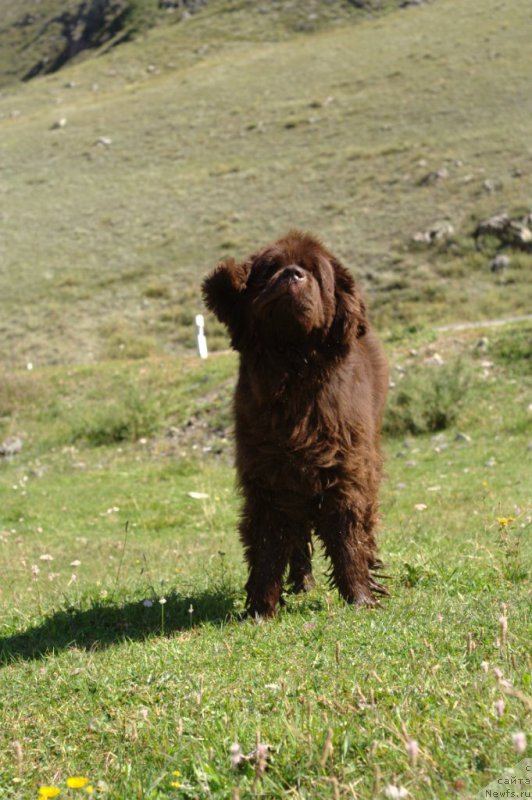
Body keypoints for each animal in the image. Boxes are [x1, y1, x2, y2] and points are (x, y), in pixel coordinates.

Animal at [202, 231, 388, 620]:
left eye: (314, 271)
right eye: (269, 269)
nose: (292, 275)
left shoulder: (346, 467)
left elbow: (348, 533)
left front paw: (361, 596)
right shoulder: (268, 475)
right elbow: (267, 542)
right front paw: (261, 607)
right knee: (299, 535)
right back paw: (302, 582)